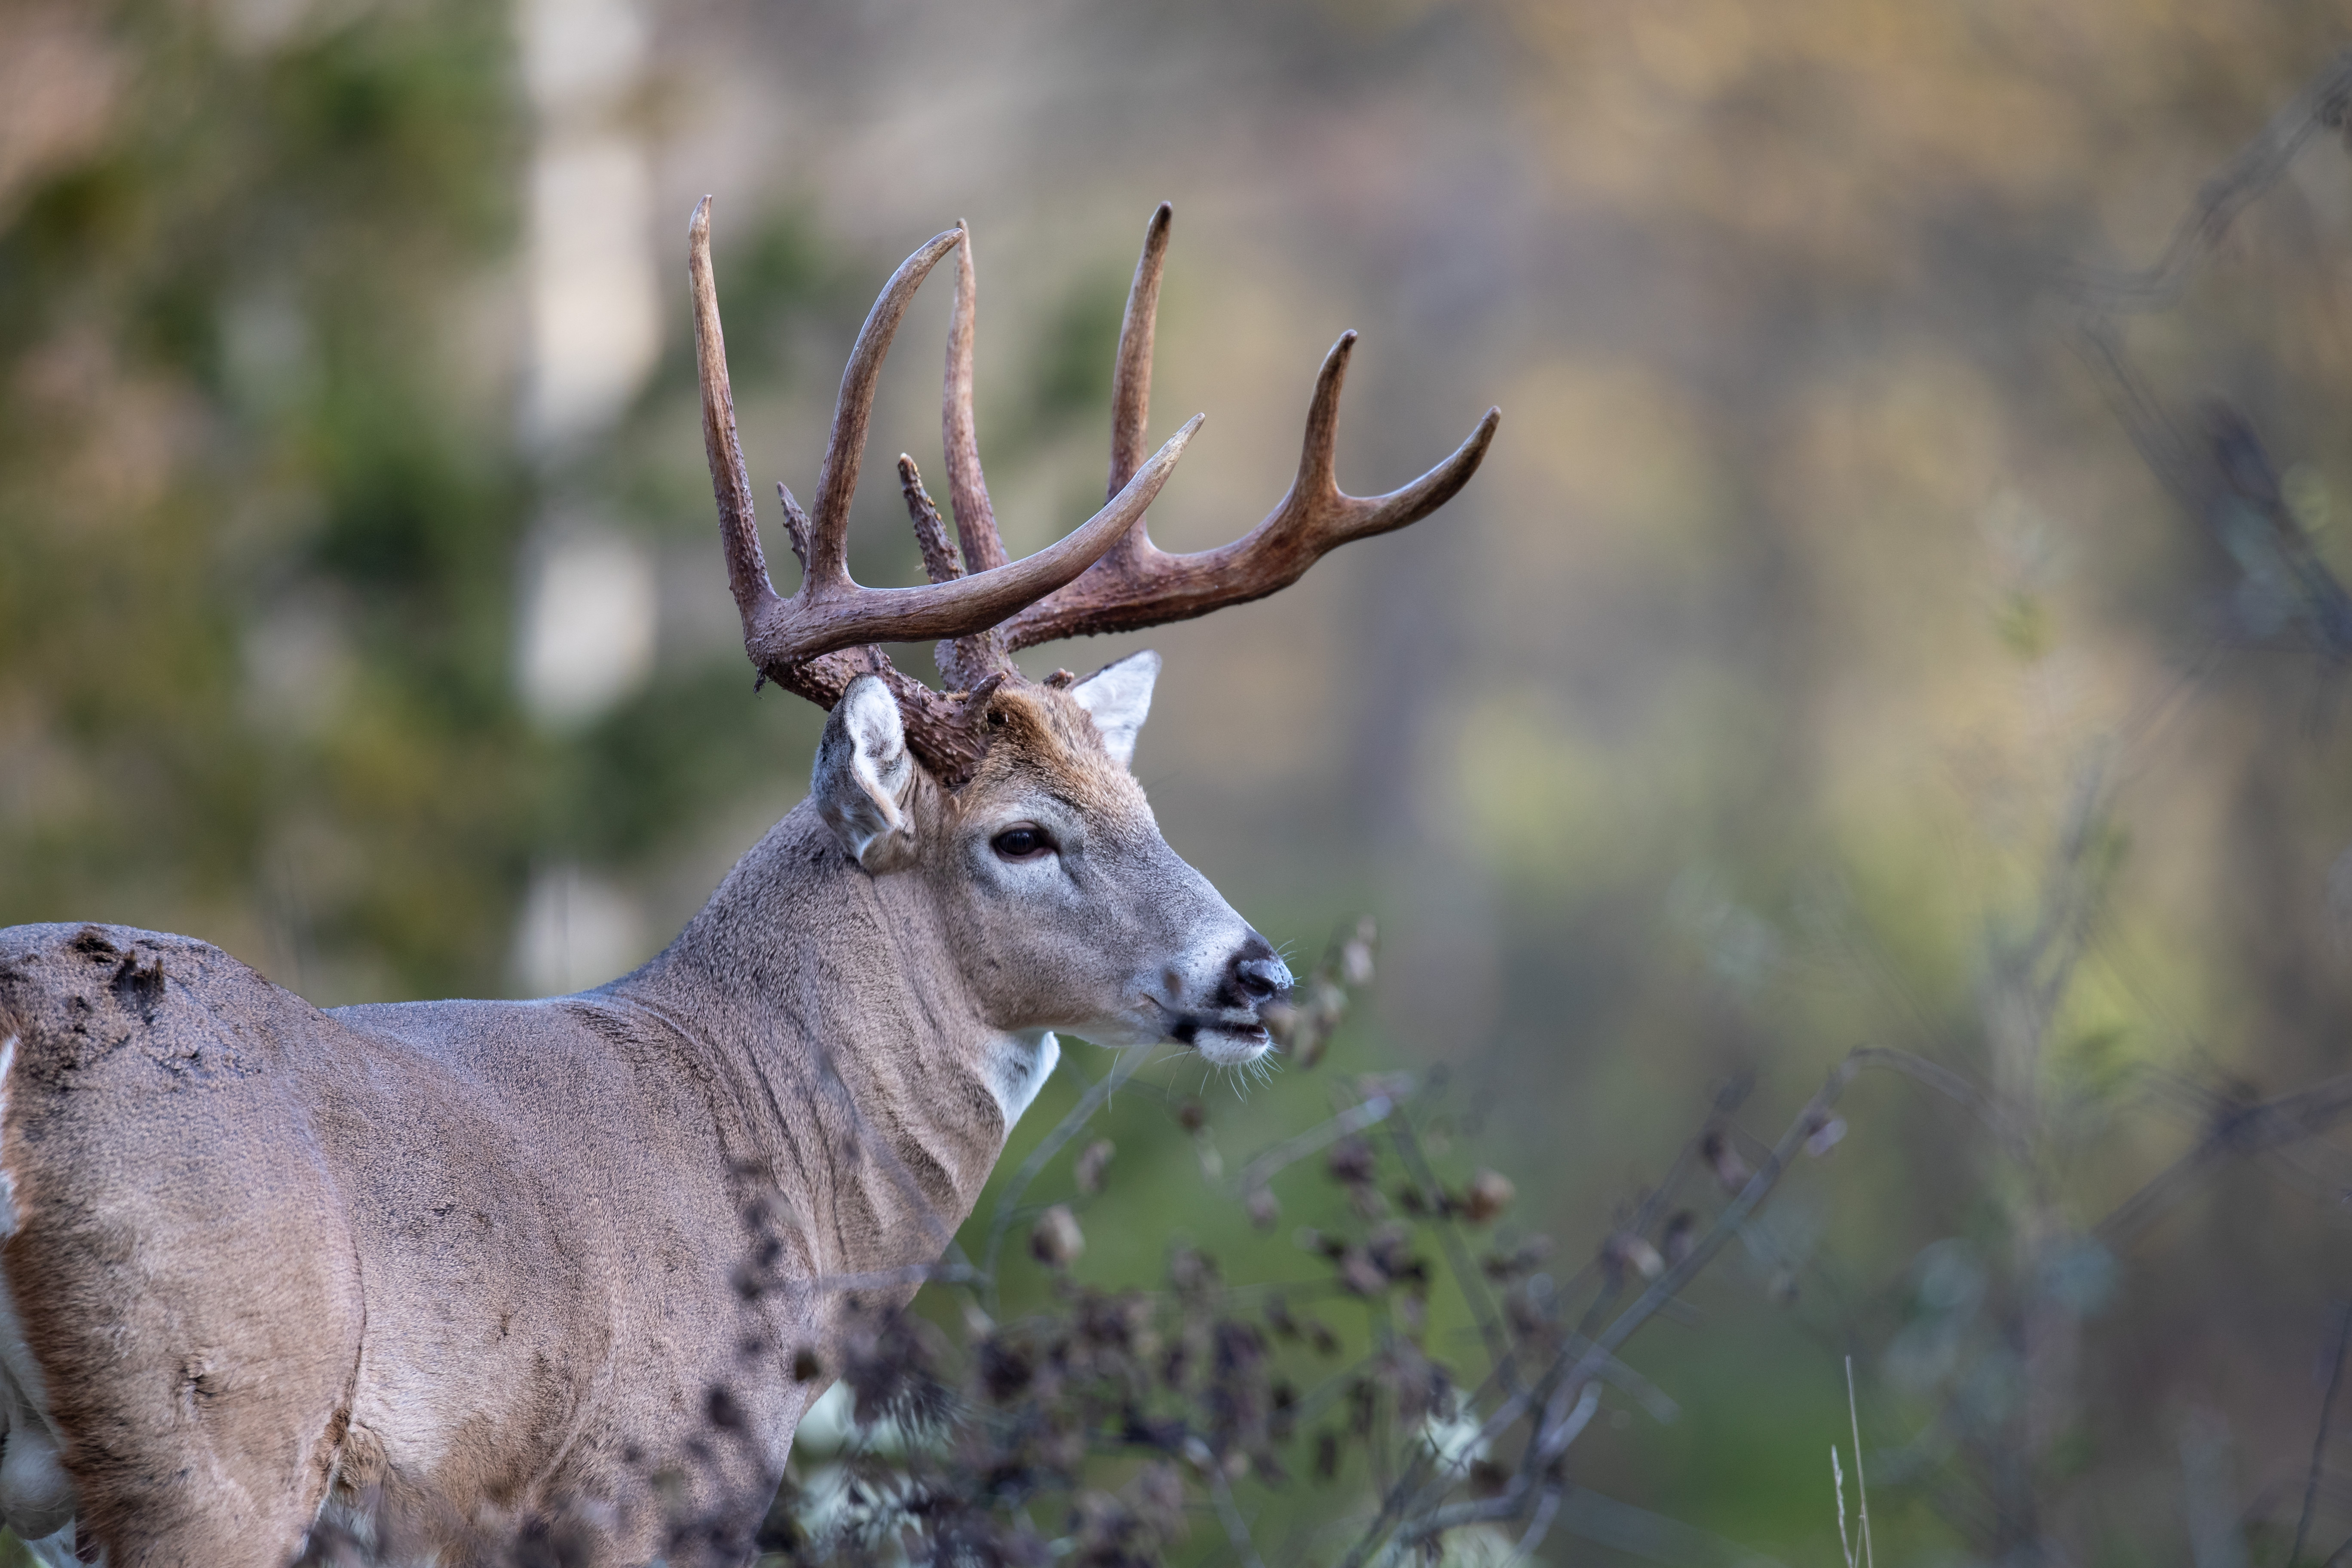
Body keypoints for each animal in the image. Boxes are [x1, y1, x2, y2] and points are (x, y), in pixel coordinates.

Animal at [0, 199, 1496, 1568]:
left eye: (1142, 803)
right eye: (1022, 836)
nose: (1258, 973)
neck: (762, 1139)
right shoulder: (638, 1485)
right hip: (218, 1423)